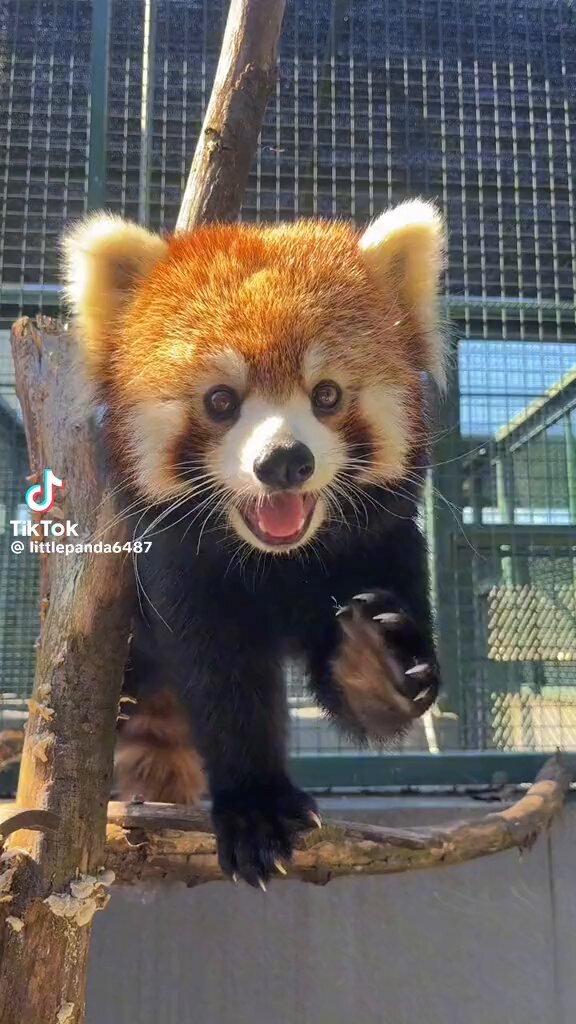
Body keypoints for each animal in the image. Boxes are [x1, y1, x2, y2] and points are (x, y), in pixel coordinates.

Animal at [63, 202, 446, 888]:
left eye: (327, 395)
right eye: (221, 401)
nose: (284, 462)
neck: (281, 564)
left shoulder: (385, 545)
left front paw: (372, 668)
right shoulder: (182, 573)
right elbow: (224, 679)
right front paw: (255, 808)